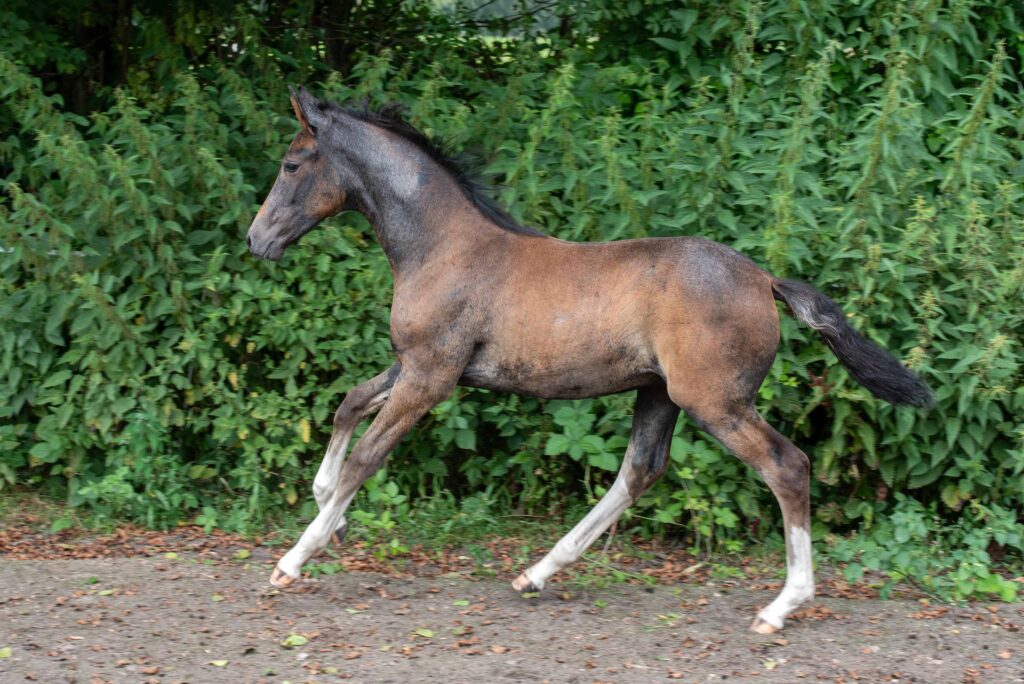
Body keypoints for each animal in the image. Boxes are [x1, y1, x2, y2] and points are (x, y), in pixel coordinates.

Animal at [245, 87, 929, 634]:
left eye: (291, 163)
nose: (256, 240)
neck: (441, 245)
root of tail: (764, 280)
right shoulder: (417, 365)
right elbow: (349, 403)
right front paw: (327, 506)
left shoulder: (431, 377)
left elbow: (367, 455)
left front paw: (293, 559)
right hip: (659, 394)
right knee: (639, 472)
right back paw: (536, 573)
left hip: (716, 403)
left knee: (787, 466)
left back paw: (781, 606)